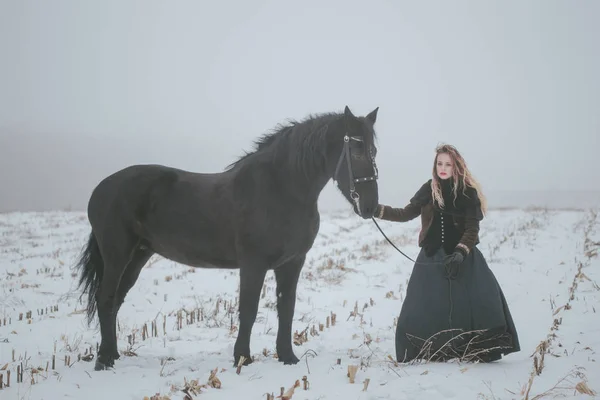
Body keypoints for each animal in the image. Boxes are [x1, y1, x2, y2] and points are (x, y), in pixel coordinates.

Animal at [72, 104, 378, 370]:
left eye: (373, 150)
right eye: (356, 151)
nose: (370, 206)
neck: (281, 190)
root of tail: (101, 188)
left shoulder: (292, 263)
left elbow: (286, 308)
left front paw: (287, 357)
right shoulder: (253, 264)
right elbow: (249, 309)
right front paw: (242, 358)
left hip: (138, 256)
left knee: (115, 301)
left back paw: (113, 354)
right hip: (117, 255)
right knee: (106, 298)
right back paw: (104, 360)